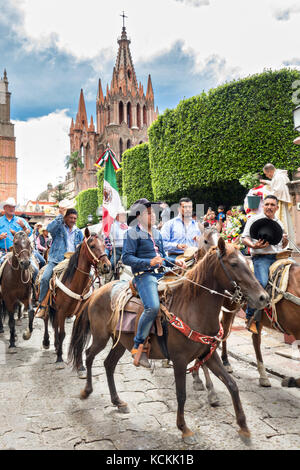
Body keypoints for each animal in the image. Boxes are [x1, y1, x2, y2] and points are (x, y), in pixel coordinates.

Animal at [27, 228, 110, 370]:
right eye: (92, 246)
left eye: (105, 245)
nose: (107, 266)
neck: (76, 284)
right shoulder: (61, 311)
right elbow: (62, 334)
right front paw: (60, 358)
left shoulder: (78, 314)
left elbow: (78, 336)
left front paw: (80, 364)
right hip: (48, 307)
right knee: (46, 320)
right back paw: (47, 342)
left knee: (54, 325)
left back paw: (56, 346)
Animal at [68, 239, 270, 444]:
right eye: (234, 264)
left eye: (248, 263)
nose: (264, 297)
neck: (193, 309)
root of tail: (97, 292)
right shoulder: (179, 360)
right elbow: (181, 395)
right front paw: (184, 429)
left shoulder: (209, 355)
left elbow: (232, 385)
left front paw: (244, 428)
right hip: (101, 338)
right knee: (89, 355)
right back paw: (86, 390)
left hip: (120, 343)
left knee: (109, 364)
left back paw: (118, 401)